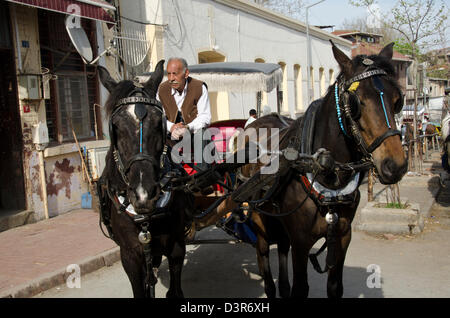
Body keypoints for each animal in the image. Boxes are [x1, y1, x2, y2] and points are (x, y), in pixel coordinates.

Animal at [97, 60, 192, 298]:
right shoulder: (130, 254)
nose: (143, 194)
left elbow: (175, 292)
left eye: (160, 122)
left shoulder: (177, 245)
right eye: (116, 126)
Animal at [195, 42, 406, 298]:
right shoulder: (301, 240)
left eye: (398, 100)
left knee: (281, 256)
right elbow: (300, 288)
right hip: (258, 215)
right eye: (356, 102)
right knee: (265, 264)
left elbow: (334, 287)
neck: (324, 169)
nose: (395, 165)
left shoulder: (343, 235)